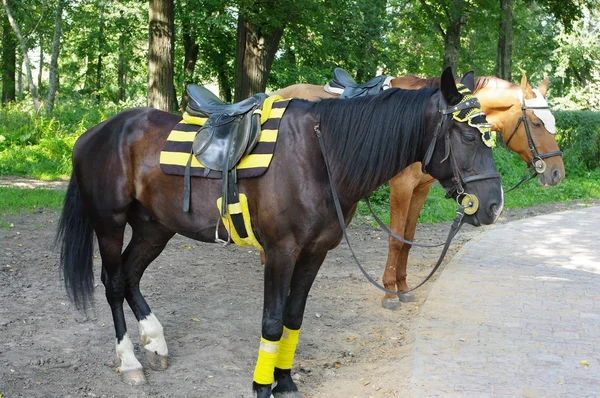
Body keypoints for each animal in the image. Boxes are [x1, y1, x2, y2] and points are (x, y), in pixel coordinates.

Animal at [58, 69, 504, 398]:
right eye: (468, 134)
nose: (494, 205)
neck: (320, 156)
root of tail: (94, 133)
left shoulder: (315, 252)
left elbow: (293, 317)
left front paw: (285, 381)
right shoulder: (280, 252)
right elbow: (271, 322)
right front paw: (261, 385)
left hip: (155, 227)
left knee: (132, 276)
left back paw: (155, 342)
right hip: (110, 224)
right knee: (115, 282)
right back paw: (130, 362)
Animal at [274, 75, 564, 310]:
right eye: (536, 123)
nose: (557, 172)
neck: (428, 125)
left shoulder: (420, 190)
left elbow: (409, 238)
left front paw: (402, 287)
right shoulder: (402, 188)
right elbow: (396, 239)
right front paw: (390, 293)